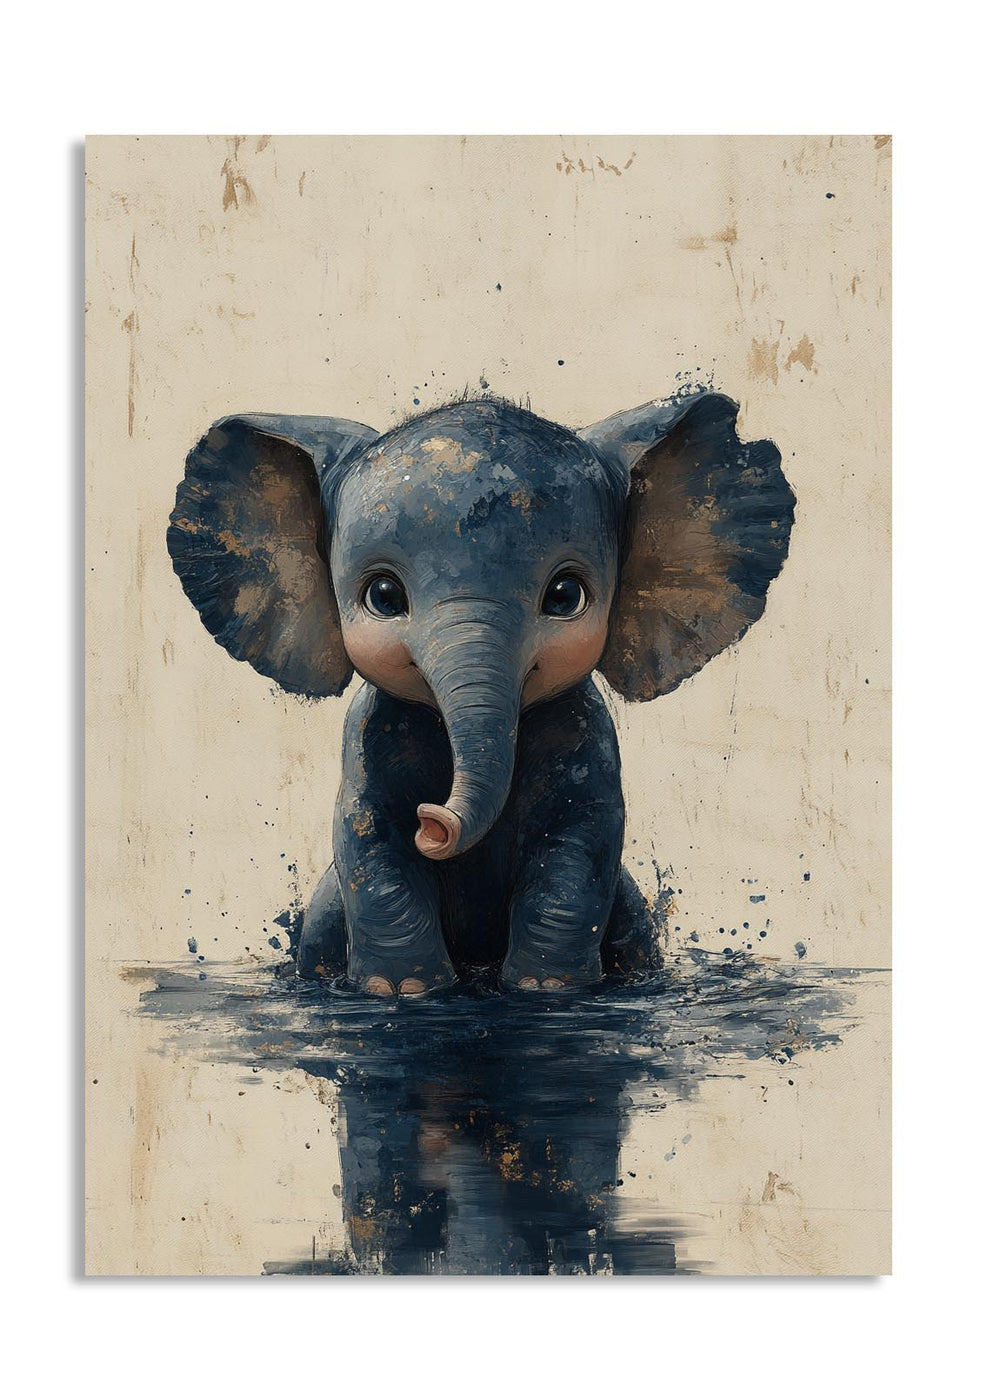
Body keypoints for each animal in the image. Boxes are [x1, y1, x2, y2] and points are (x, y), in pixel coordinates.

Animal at [167, 389, 794, 997]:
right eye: (384, 597)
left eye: (565, 596)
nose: (432, 820)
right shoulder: (367, 736)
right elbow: (367, 833)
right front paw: (403, 993)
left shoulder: (588, 735)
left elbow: (582, 840)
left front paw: (548, 991)